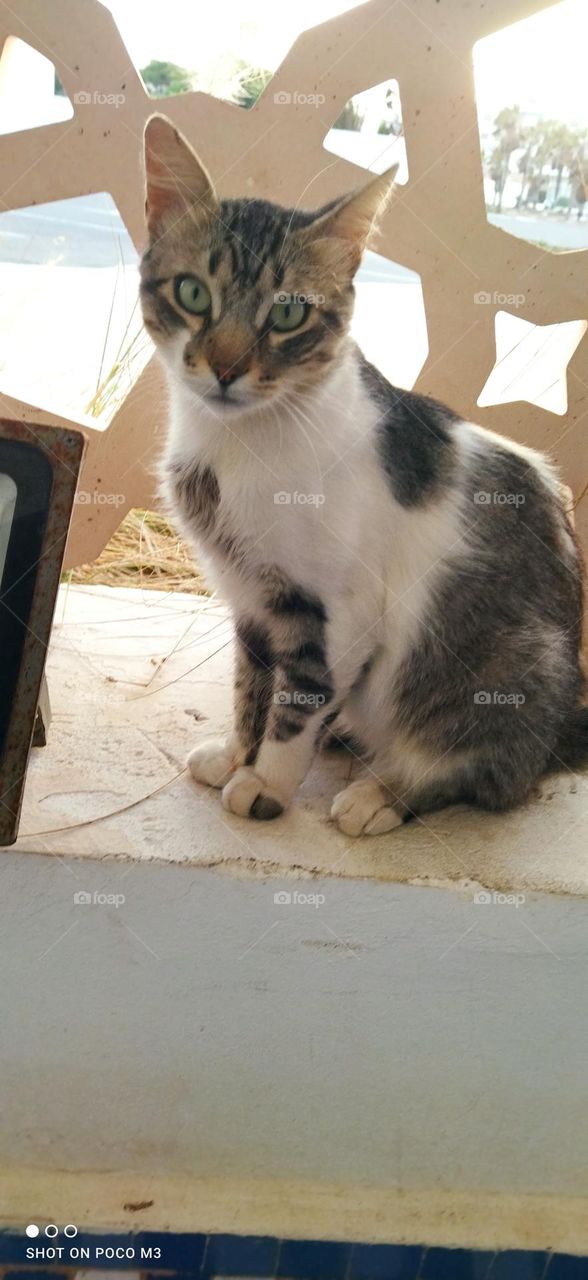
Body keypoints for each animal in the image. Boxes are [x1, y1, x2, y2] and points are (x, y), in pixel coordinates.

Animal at [140, 112, 586, 839]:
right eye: (192, 293)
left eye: (288, 313)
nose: (227, 367)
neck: (240, 445)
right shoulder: (250, 594)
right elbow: (252, 682)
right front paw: (238, 752)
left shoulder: (342, 610)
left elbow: (301, 697)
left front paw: (266, 784)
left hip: (511, 668)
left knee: (487, 772)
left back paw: (383, 793)